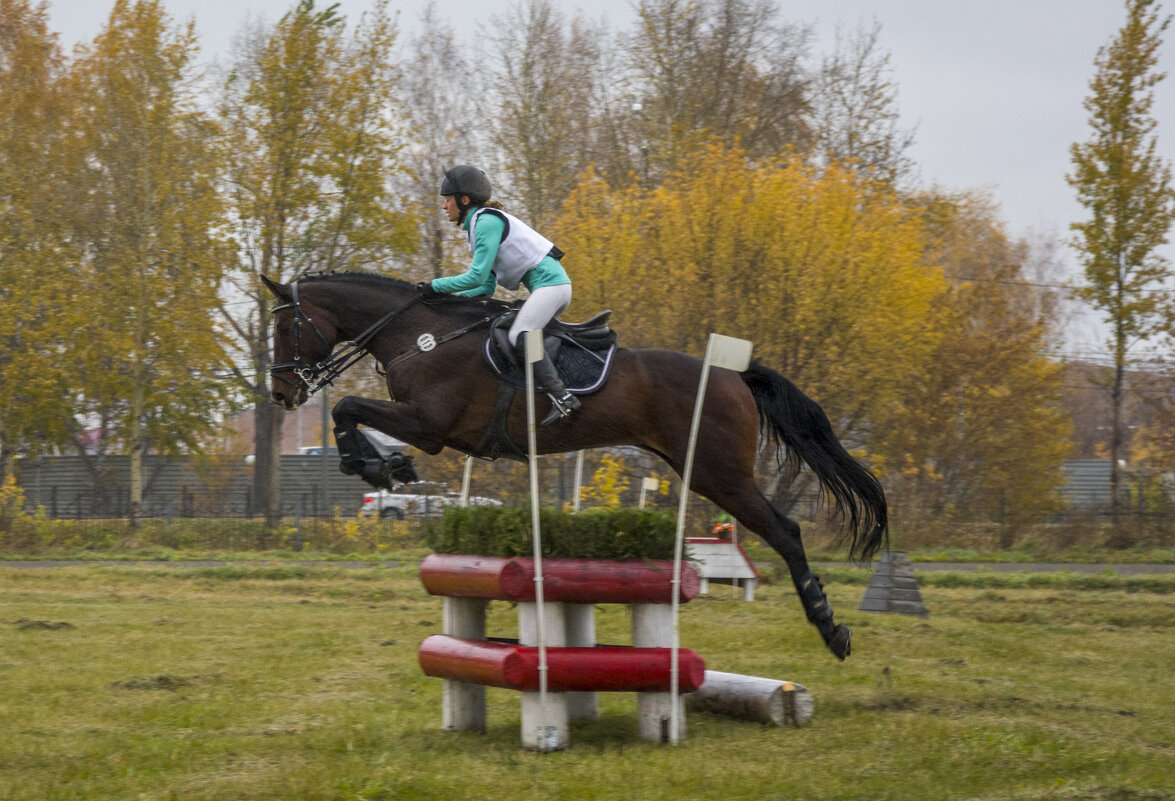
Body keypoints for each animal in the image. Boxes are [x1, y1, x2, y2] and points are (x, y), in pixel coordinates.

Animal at [262, 271, 883, 657]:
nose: (282, 393)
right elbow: (349, 413)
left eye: (286, 327)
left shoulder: (429, 425)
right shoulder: (424, 425)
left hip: (718, 473)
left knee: (785, 529)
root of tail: (734, 375)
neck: (422, 334)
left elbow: (346, 406)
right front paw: (382, 466)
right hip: (700, 468)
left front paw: (378, 466)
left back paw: (831, 629)